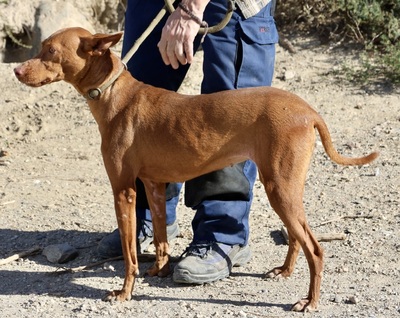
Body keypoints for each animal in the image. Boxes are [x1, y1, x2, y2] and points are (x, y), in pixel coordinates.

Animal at [14, 27, 378, 310]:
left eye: (51, 50)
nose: (16, 71)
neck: (114, 93)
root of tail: (308, 110)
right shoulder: (153, 185)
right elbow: (161, 239)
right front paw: (159, 271)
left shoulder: (124, 190)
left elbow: (130, 254)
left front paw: (124, 292)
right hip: (283, 187)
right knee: (297, 237)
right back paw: (285, 271)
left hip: (280, 188)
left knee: (315, 248)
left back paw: (310, 301)